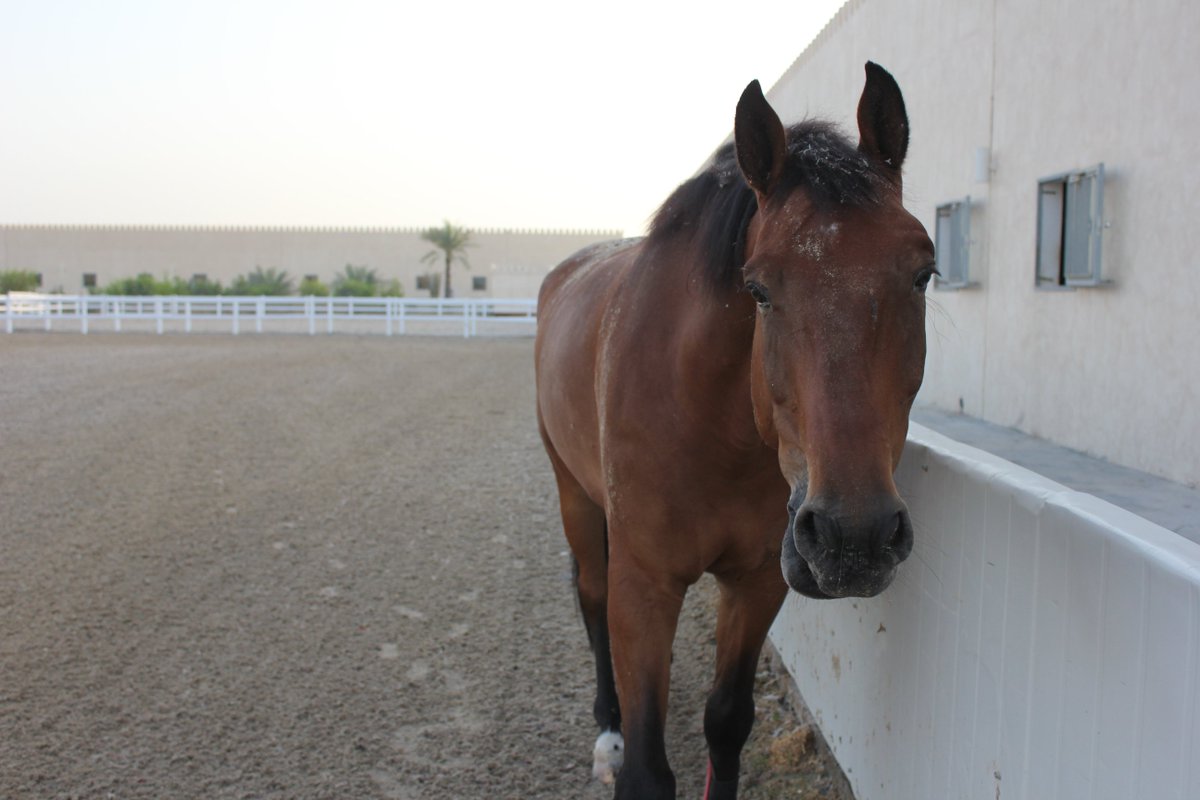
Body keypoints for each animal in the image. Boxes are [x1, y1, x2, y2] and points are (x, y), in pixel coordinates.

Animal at [535, 62, 934, 800]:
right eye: (759, 289)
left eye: (923, 273)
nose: (854, 538)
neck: (709, 428)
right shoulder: (646, 586)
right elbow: (647, 768)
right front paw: (624, 747)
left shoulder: (757, 581)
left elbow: (726, 721)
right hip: (573, 493)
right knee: (591, 598)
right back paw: (607, 732)